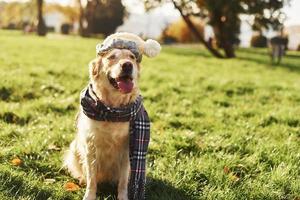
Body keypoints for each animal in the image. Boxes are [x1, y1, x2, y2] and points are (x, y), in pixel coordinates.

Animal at [64, 32, 161, 199]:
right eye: (111, 57)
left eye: (132, 57)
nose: (127, 65)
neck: (112, 110)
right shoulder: (91, 146)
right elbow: (91, 179)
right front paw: (89, 195)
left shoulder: (127, 150)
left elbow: (122, 182)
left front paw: (123, 196)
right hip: (74, 149)